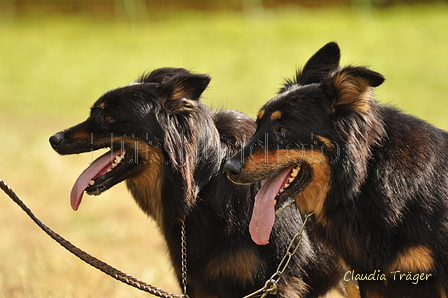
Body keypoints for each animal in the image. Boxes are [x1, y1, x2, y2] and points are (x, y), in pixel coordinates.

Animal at [50, 68, 354, 298]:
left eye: (107, 116)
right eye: (94, 112)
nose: (54, 139)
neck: (205, 183)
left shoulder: (274, 284)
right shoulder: (199, 284)